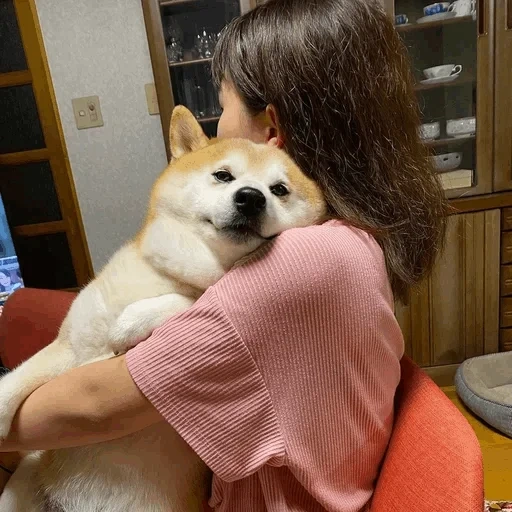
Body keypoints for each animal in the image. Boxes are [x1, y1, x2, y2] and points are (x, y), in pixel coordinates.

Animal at [0, 106, 328, 510]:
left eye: (279, 190)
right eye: (223, 175)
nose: (251, 198)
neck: (170, 274)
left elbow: (196, 298)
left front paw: (133, 320)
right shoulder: (71, 346)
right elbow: (16, 381)